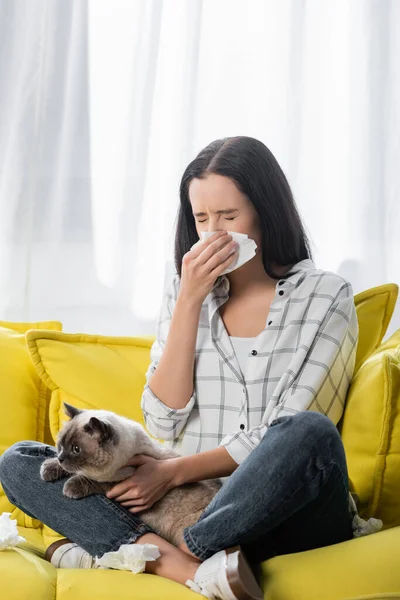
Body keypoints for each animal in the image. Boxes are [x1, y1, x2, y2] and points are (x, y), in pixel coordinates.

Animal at [40, 404, 222, 548]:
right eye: (60, 445)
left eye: (76, 449)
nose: (61, 458)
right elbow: (74, 471)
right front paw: (48, 469)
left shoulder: (120, 481)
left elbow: (92, 481)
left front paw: (70, 488)